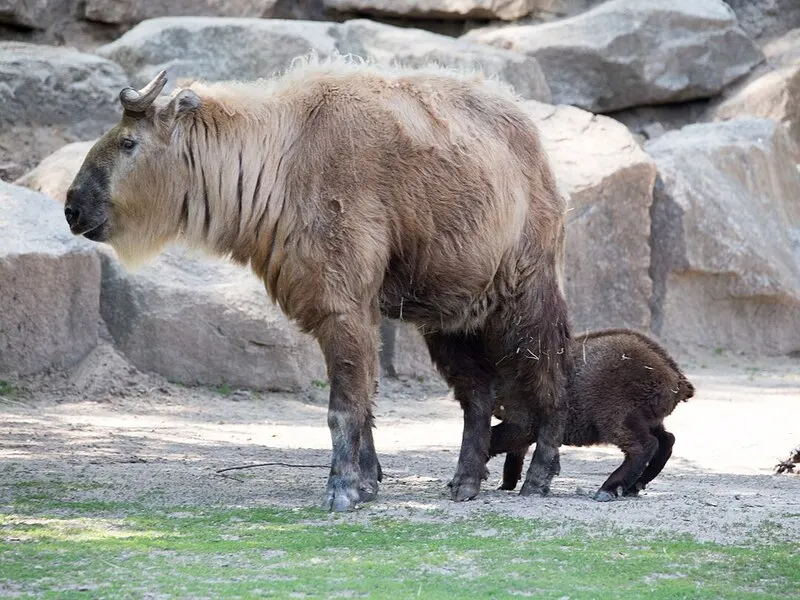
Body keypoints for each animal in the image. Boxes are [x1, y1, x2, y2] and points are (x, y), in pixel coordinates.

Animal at [64, 56, 576, 510]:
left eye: (128, 142)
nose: (71, 208)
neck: (279, 159)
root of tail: (530, 134)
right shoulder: (348, 308)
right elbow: (365, 401)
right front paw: (367, 483)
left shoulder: (342, 304)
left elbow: (343, 407)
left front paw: (343, 491)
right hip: (449, 315)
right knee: (478, 395)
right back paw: (465, 481)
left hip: (525, 295)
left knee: (552, 375)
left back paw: (539, 476)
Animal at [490, 328, 692, 502]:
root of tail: (674, 376)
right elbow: (516, 453)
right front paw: (508, 483)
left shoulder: (524, 423)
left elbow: (495, 440)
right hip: (646, 419)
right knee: (667, 440)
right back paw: (636, 484)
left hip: (615, 416)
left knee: (644, 446)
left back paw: (609, 488)